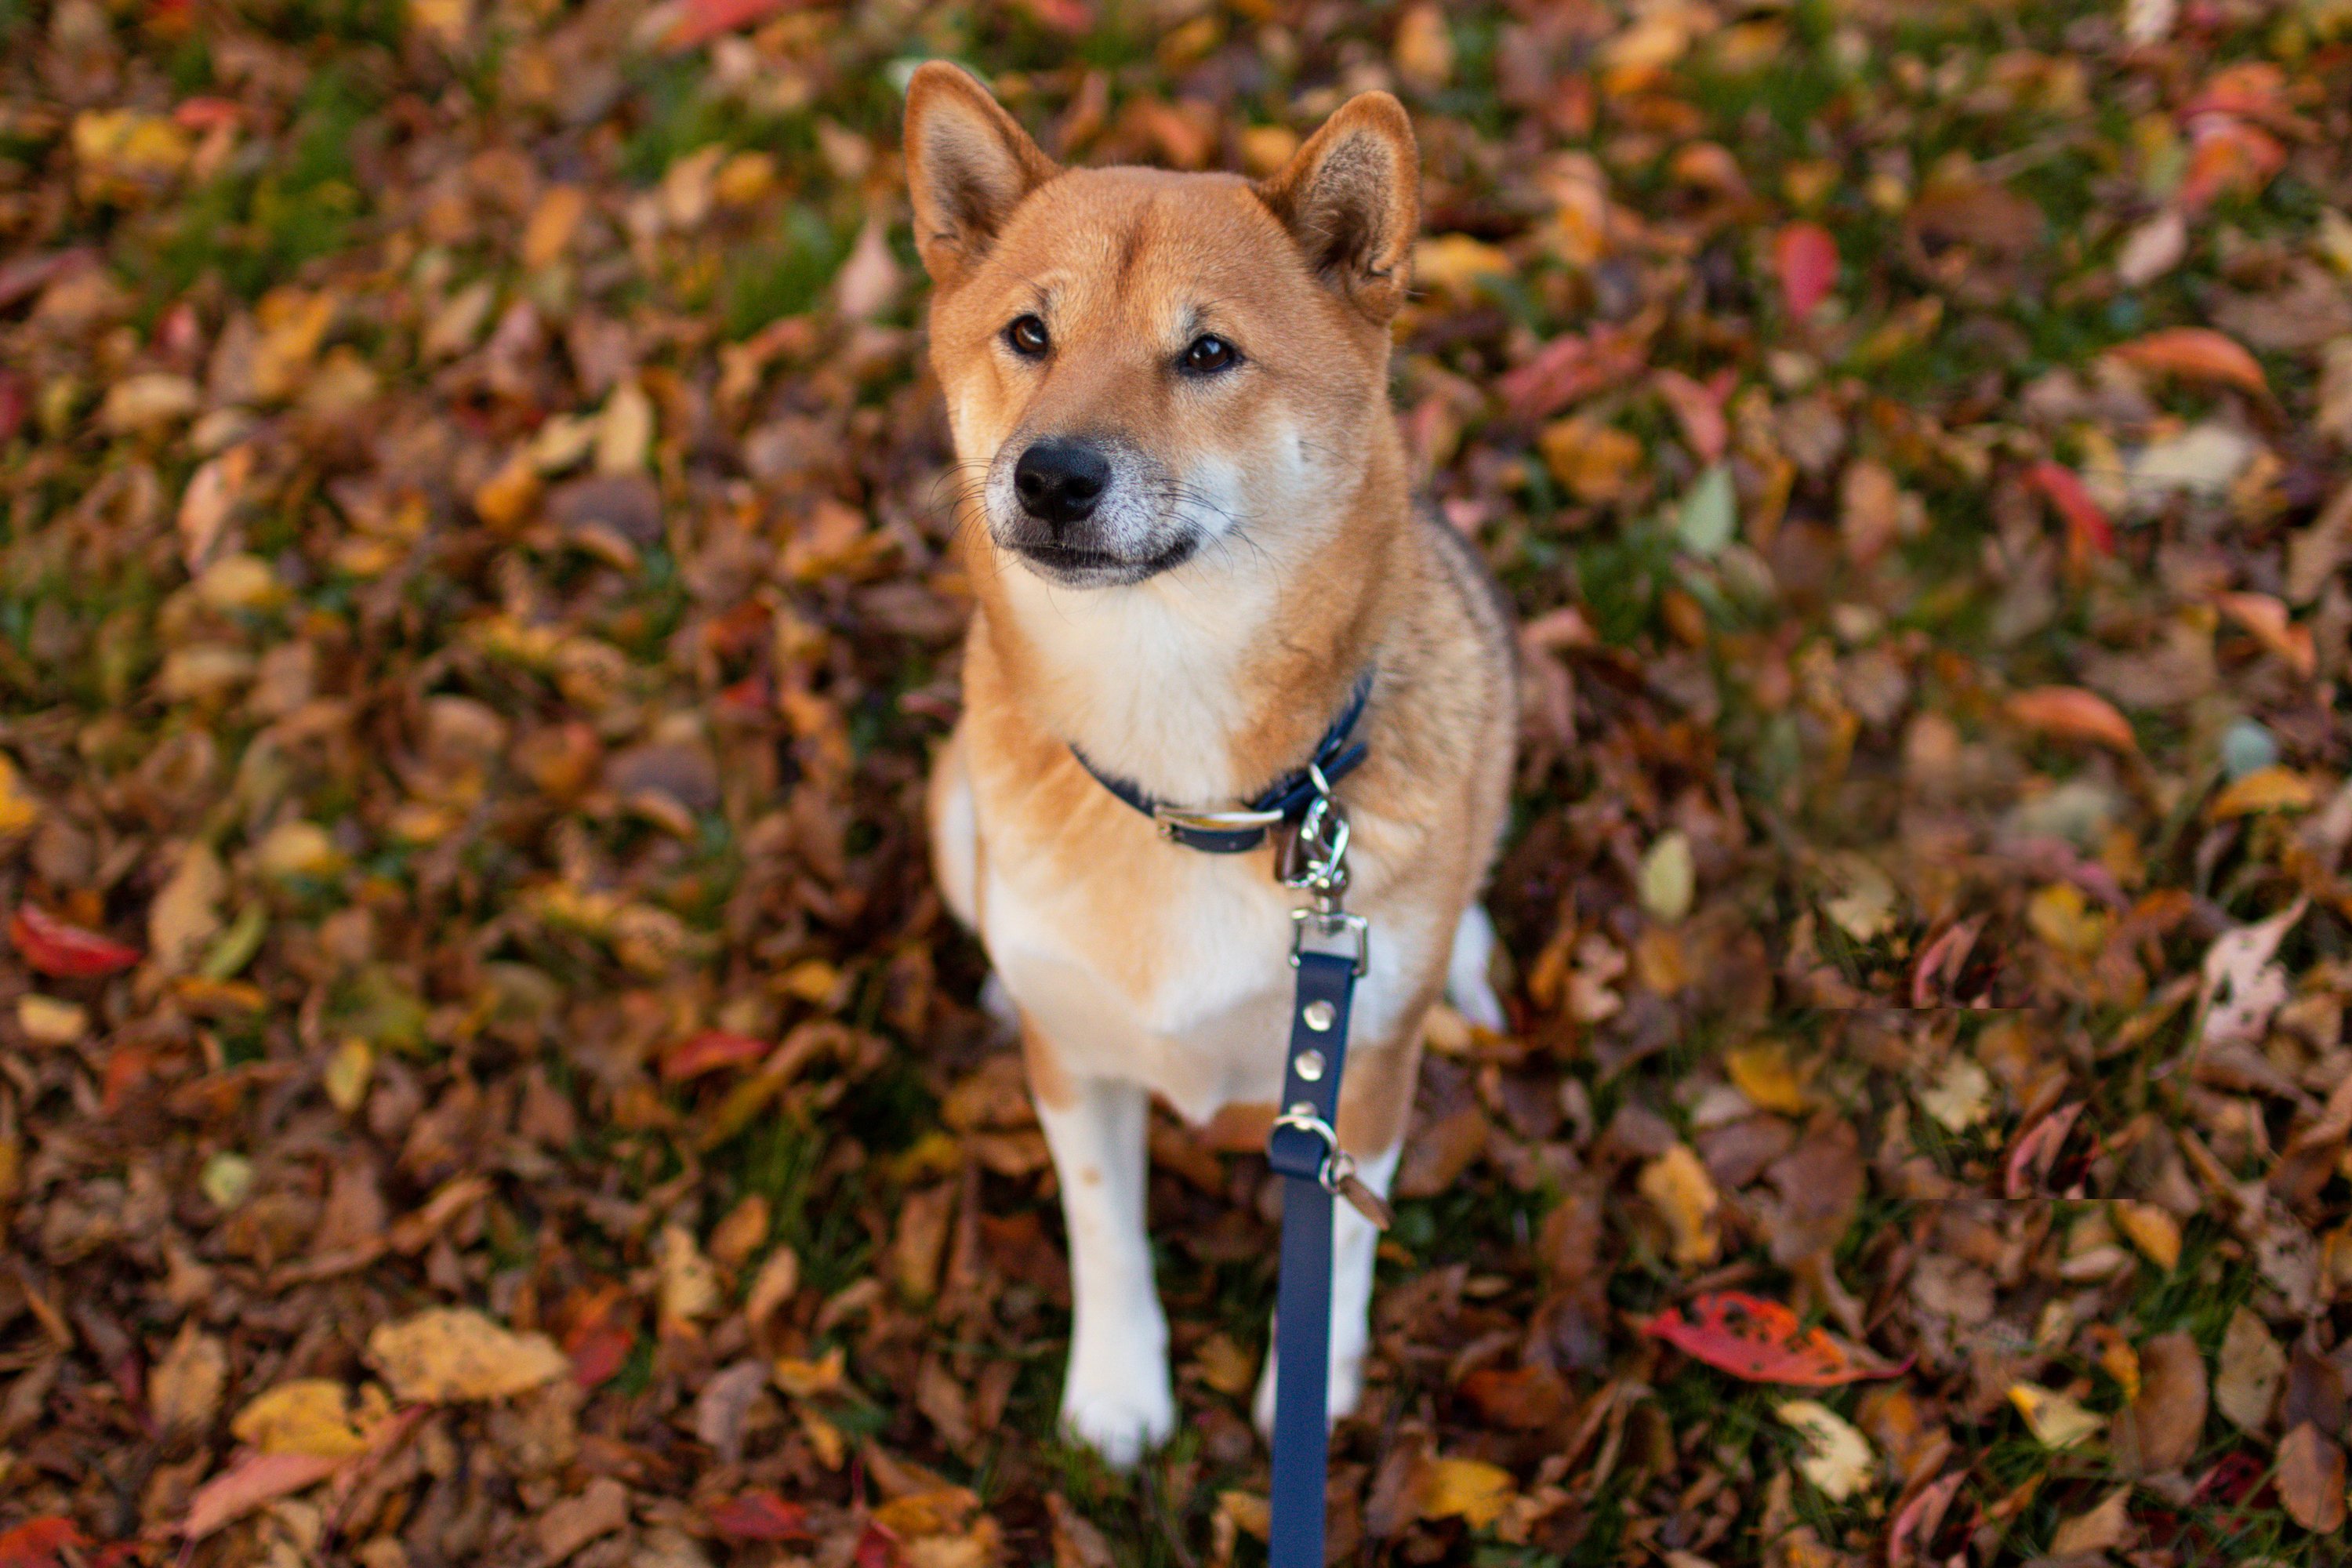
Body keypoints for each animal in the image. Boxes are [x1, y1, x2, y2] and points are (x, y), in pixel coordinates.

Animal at [908, 58, 1515, 1457]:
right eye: (1030, 334)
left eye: (1208, 353)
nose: (1053, 475)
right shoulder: (1078, 1075)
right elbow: (1103, 1227)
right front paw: (1120, 1390)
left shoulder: (1357, 1079)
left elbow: (1339, 1246)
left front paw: (1310, 1385)